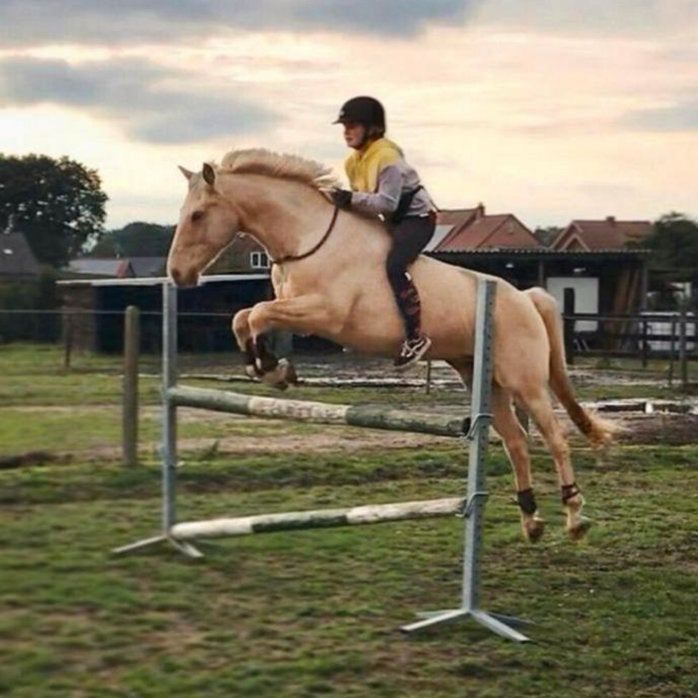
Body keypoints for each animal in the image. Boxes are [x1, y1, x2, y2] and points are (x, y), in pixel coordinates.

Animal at [167, 148, 615, 542]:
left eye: (197, 214)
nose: (177, 274)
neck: (308, 238)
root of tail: (526, 297)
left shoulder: (324, 313)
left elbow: (257, 313)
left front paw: (272, 369)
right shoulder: (295, 310)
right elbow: (244, 318)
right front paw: (268, 369)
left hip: (526, 382)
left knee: (554, 438)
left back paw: (574, 518)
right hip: (484, 379)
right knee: (516, 442)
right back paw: (531, 521)